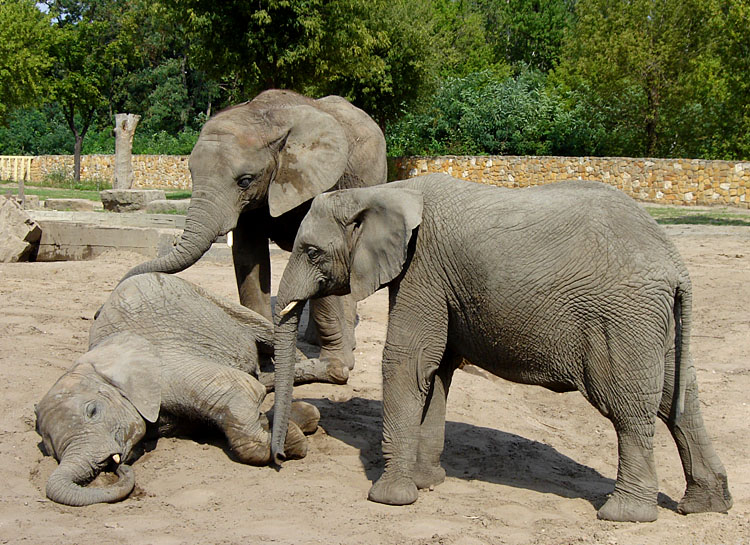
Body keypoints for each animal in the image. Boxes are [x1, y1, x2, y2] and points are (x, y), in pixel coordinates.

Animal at [33, 272, 336, 506]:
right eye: (49, 448)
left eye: (93, 411)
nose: (118, 467)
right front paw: (286, 425)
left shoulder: (165, 367)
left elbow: (241, 389)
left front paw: (291, 441)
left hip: (212, 298)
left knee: (266, 334)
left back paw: (330, 370)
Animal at [120, 90, 388, 374]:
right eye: (191, 173)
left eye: (245, 181)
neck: (264, 118)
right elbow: (249, 258)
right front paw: (266, 360)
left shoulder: (320, 180)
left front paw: (333, 364)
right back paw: (311, 341)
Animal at [270, 174, 736, 524]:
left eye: (312, 252)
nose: (279, 459)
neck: (385, 190)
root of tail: (676, 264)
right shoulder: (439, 282)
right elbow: (437, 370)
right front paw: (427, 483)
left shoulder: (423, 269)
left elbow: (408, 363)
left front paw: (391, 498)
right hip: (655, 321)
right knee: (679, 397)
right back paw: (705, 506)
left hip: (623, 318)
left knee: (628, 405)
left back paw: (623, 515)